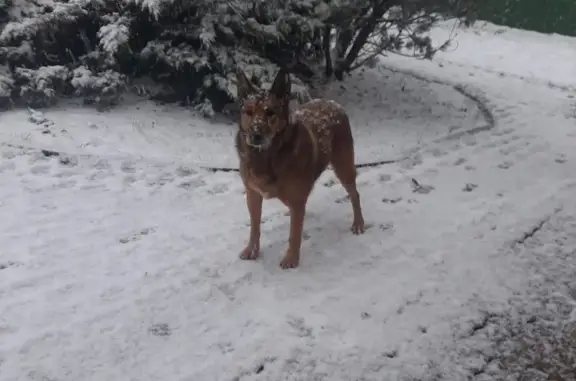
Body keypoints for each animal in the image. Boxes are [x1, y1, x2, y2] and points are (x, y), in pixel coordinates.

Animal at [234, 67, 364, 268]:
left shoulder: (296, 200)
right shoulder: (253, 194)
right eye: (248, 112)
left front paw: (291, 259)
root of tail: (332, 103)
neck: (267, 156)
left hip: (343, 166)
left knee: (354, 194)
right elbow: (255, 226)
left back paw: (358, 223)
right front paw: (252, 250)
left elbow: (294, 234)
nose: (255, 135)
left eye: (270, 113)